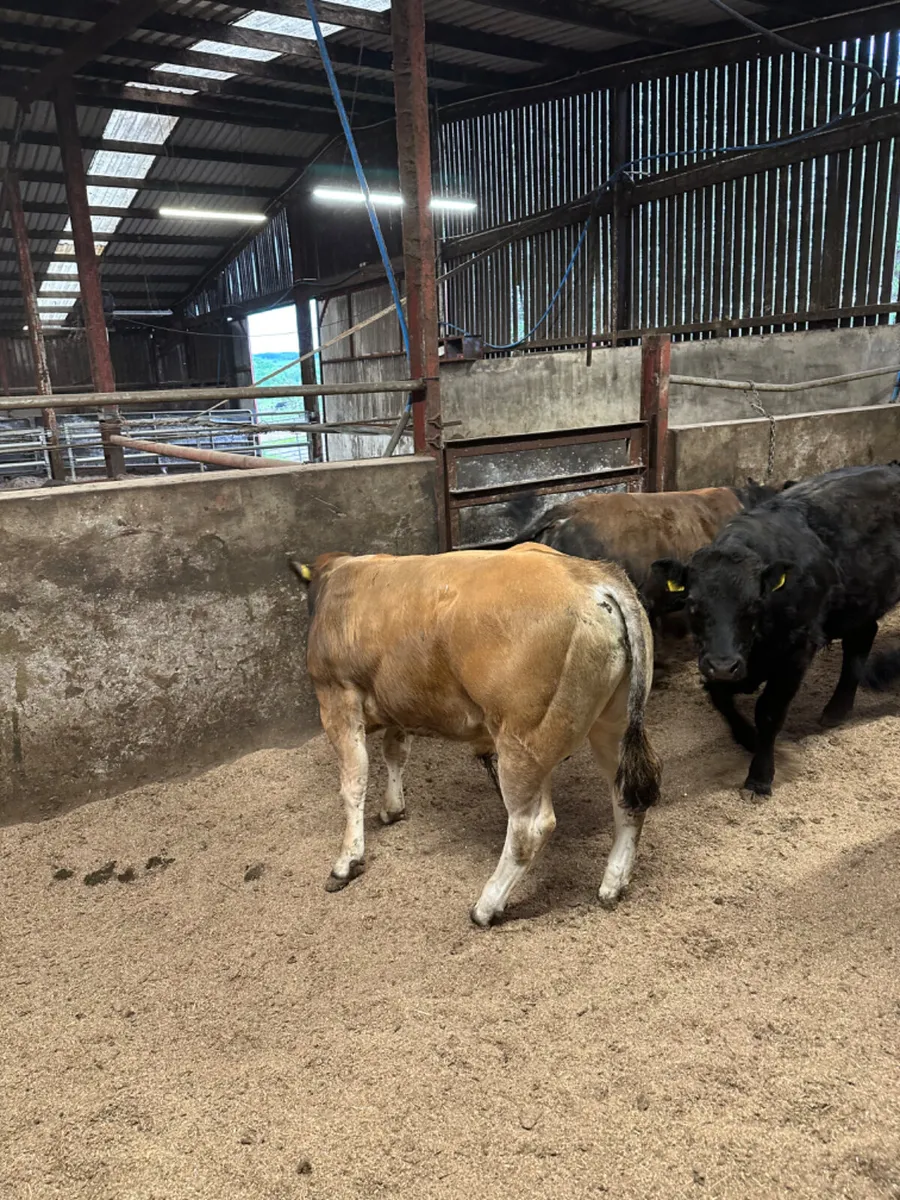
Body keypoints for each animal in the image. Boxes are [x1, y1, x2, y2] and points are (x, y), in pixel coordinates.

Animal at [292, 543, 661, 926]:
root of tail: (592, 575)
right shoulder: (398, 700)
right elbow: (395, 753)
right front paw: (393, 808)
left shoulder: (336, 696)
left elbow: (354, 781)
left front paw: (346, 862)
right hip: (609, 726)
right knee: (626, 798)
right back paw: (612, 884)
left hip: (521, 742)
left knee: (531, 827)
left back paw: (487, 905)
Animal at [649, 464, 900, 797]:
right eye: (692, 603)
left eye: (754, 604)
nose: (724, 666)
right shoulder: (715, 659)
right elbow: (721, 699)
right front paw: (748, 738)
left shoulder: (796, 652)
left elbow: (769, 712)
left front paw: (760, 776)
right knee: (862, 637)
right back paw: (837, 709)